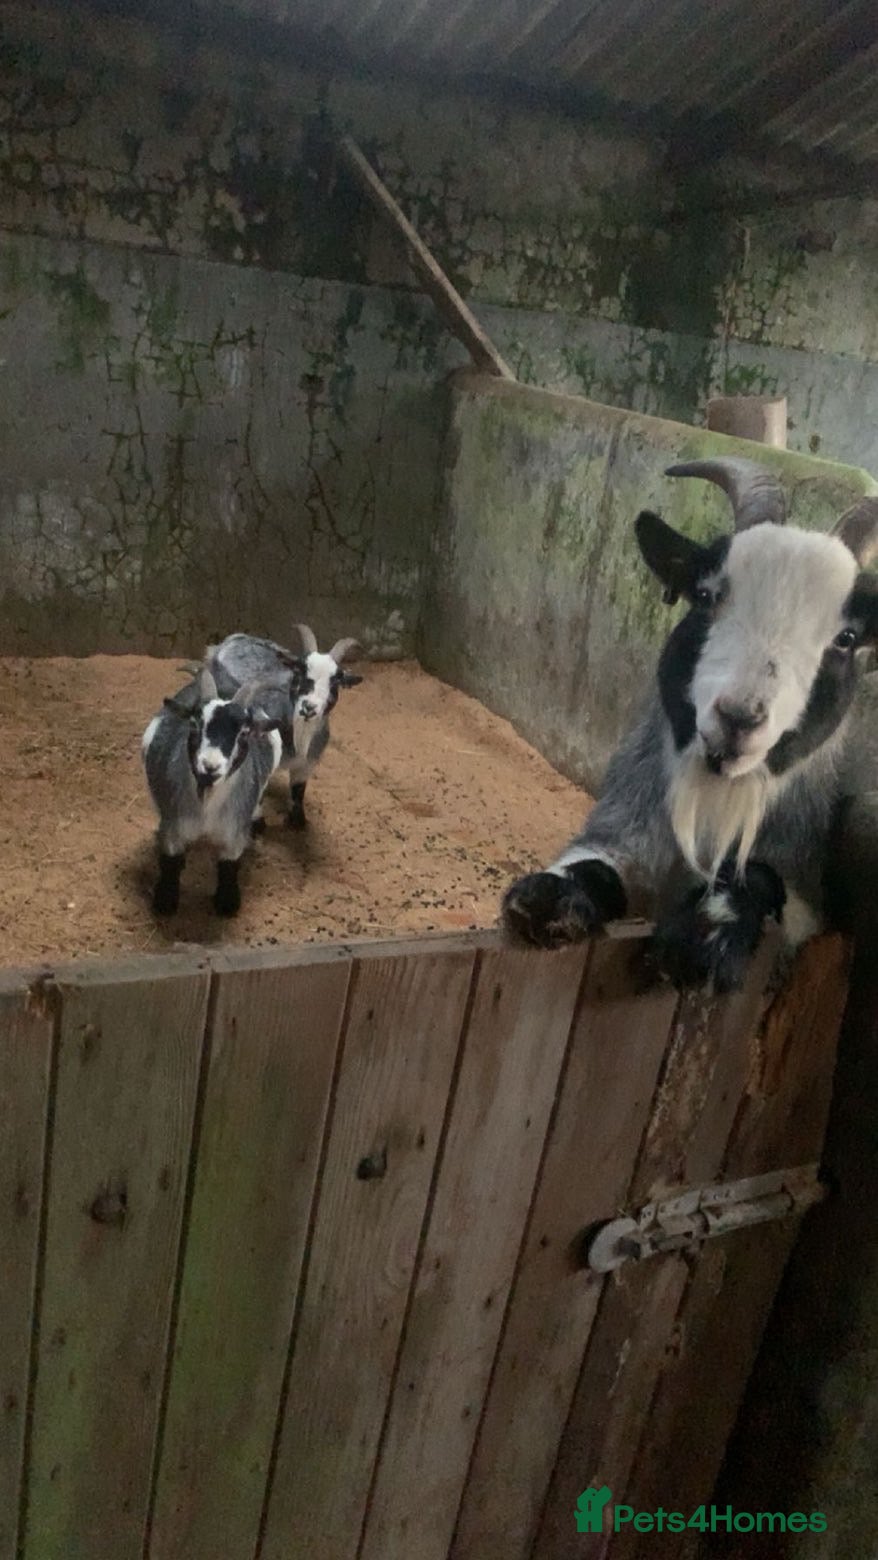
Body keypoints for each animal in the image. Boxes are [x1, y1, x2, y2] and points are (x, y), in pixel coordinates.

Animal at [141, 666, 291, 916]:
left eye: (244, 733)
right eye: (194, 725)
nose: (210, 767)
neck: (206, 808)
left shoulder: (233, 833)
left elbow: (229, 867)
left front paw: (227, 902)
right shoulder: (173, 826)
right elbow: (170, 863)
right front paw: (165, 900)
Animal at [206, 625, 363, 829]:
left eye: (335, 682)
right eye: (300, 672)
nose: (309, 707)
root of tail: (234, 639)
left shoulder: (306, 764)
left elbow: (298, 791)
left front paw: (298, 821)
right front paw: (257, 823)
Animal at [502, 457, 878, 991]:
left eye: (846, 638)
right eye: (704, 594)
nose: (738, 718)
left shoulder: (804, 907)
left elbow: (760, 880)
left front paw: (703, 935)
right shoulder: (624, 829)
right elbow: (594, 865)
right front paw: (546, 902)